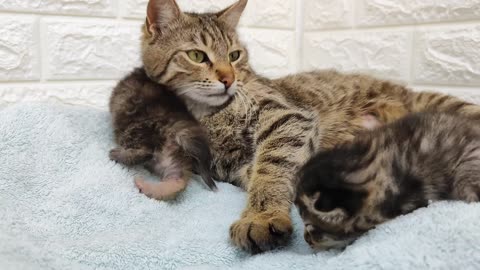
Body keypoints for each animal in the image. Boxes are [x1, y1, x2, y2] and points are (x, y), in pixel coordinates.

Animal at [109, 67, 217, 200]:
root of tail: (180, 127)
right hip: (172, 160)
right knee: (176, 181)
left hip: (138, 128)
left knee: (146, 152)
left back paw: (117, 154)